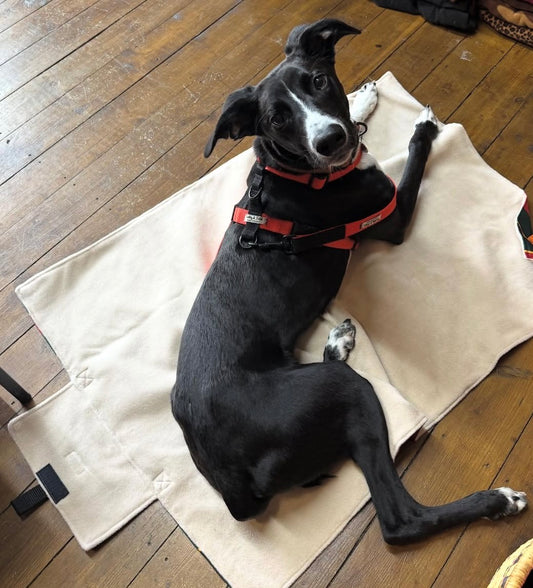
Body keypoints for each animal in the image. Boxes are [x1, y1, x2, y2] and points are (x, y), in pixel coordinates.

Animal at [171, 19, 527, 544]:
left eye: (318, 81)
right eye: (276, 119)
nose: (331, 140)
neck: (300, 174)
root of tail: (234, 487)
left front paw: (363, 98)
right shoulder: (391, 216)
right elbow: (413, 161)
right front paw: (423, 126)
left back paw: (337, 341)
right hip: (346, 394)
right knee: (400, 519)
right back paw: (495, 502)